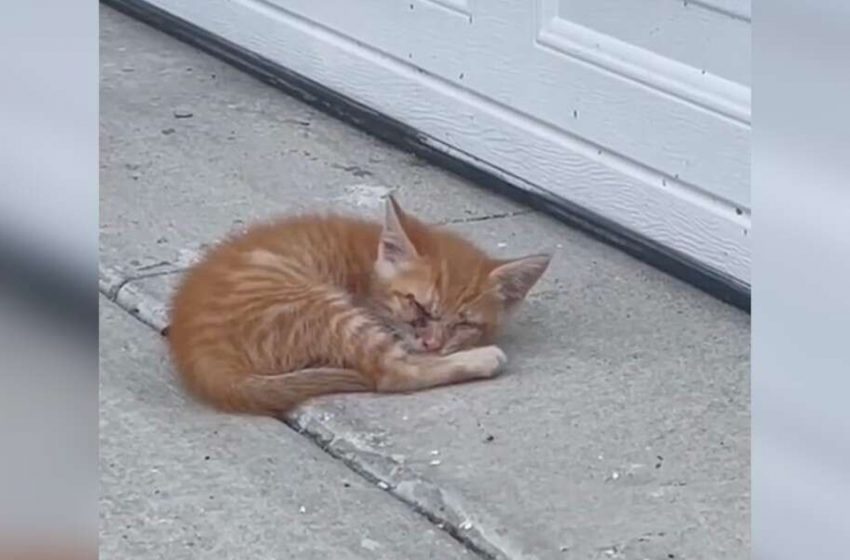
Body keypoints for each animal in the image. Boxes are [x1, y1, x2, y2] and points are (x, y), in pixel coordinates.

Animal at [166, 197, 548, 416]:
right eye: (417, 306)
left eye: (464, 324)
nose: (433, 344)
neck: (368, 267)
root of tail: (196, 352)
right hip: (324, 306)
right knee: (393, 373)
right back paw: (483, 359)